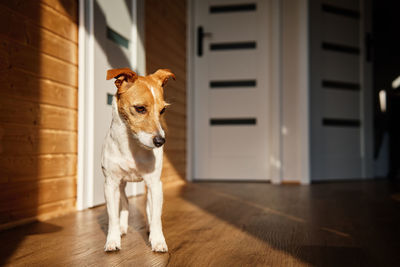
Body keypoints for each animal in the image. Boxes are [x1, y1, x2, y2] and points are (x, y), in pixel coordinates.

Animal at [101, 67, 174, 253]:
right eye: (140, 108)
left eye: (162, 111)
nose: (160, 141)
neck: (132, 146)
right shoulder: (111, 184)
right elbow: (112, 217)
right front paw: (113, 240)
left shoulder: (155, 184)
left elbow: (156, 217)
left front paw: (158, 240)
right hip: (120, 185)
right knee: (125, 203)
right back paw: (122, 227)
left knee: (149, 208)